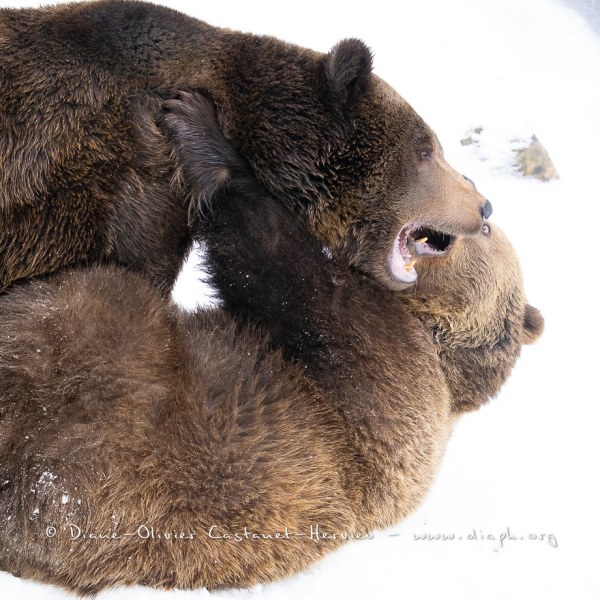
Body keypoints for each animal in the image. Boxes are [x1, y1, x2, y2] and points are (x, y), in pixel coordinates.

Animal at [0, 101, 540, 592]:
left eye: (487, 230)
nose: (486, 205)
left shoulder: (385, 379)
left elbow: (282, 270)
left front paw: (202, 131)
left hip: (102, 387)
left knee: (97, 295)